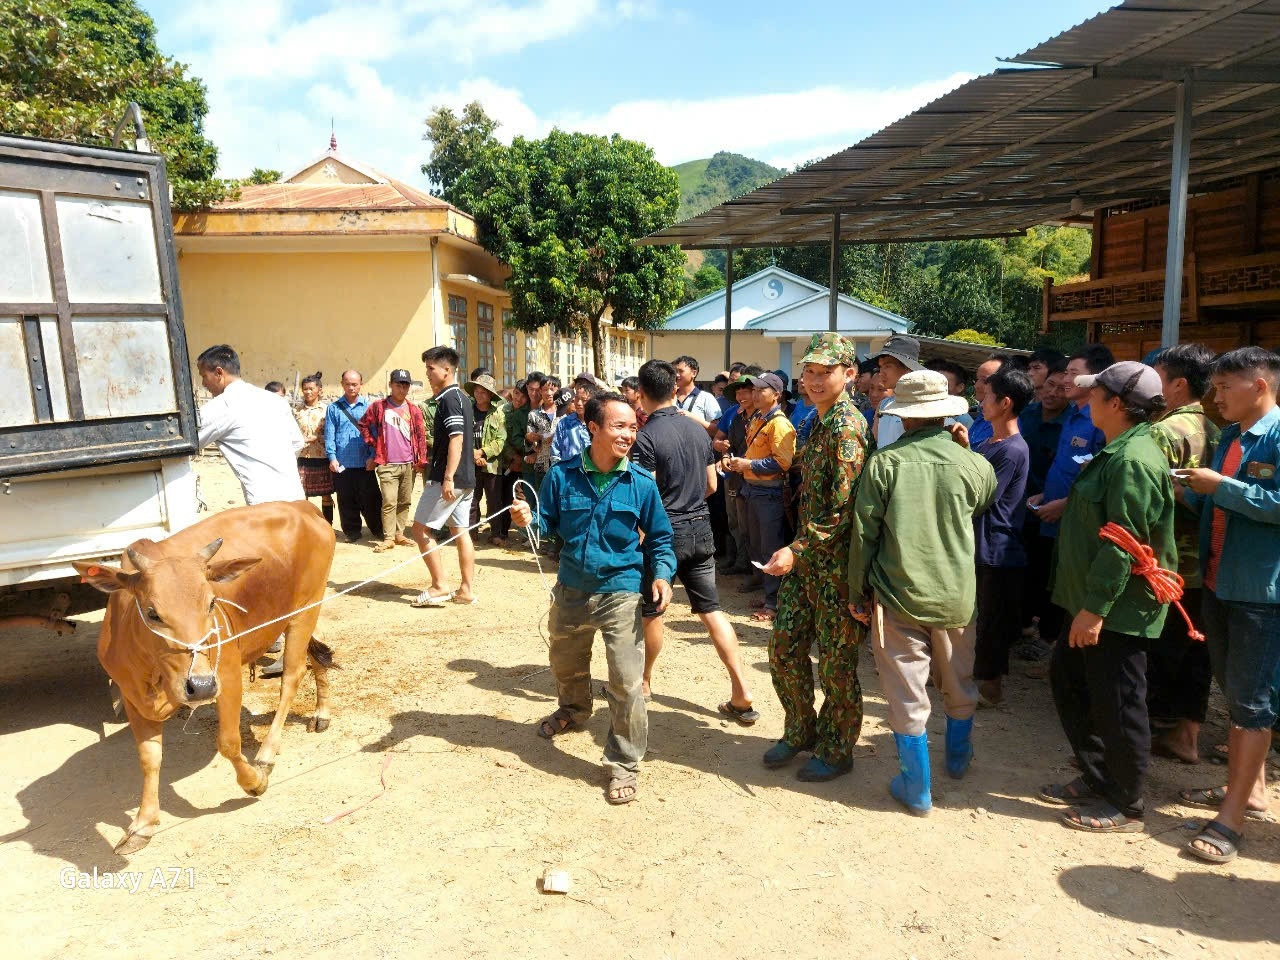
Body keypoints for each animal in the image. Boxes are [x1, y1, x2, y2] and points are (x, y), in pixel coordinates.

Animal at [73, 499, 337, 855]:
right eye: (152, 612)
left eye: (211, 602)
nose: (199, 687)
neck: (156, 671)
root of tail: (303, 506)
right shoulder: (131, 696)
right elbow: (149, 758)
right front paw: (142, 824)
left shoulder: (226, 675)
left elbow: (228, 742)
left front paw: (254, 781)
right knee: (319, 652)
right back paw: (321, 713)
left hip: (305, 609)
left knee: (293, 675)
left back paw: (266, 755)